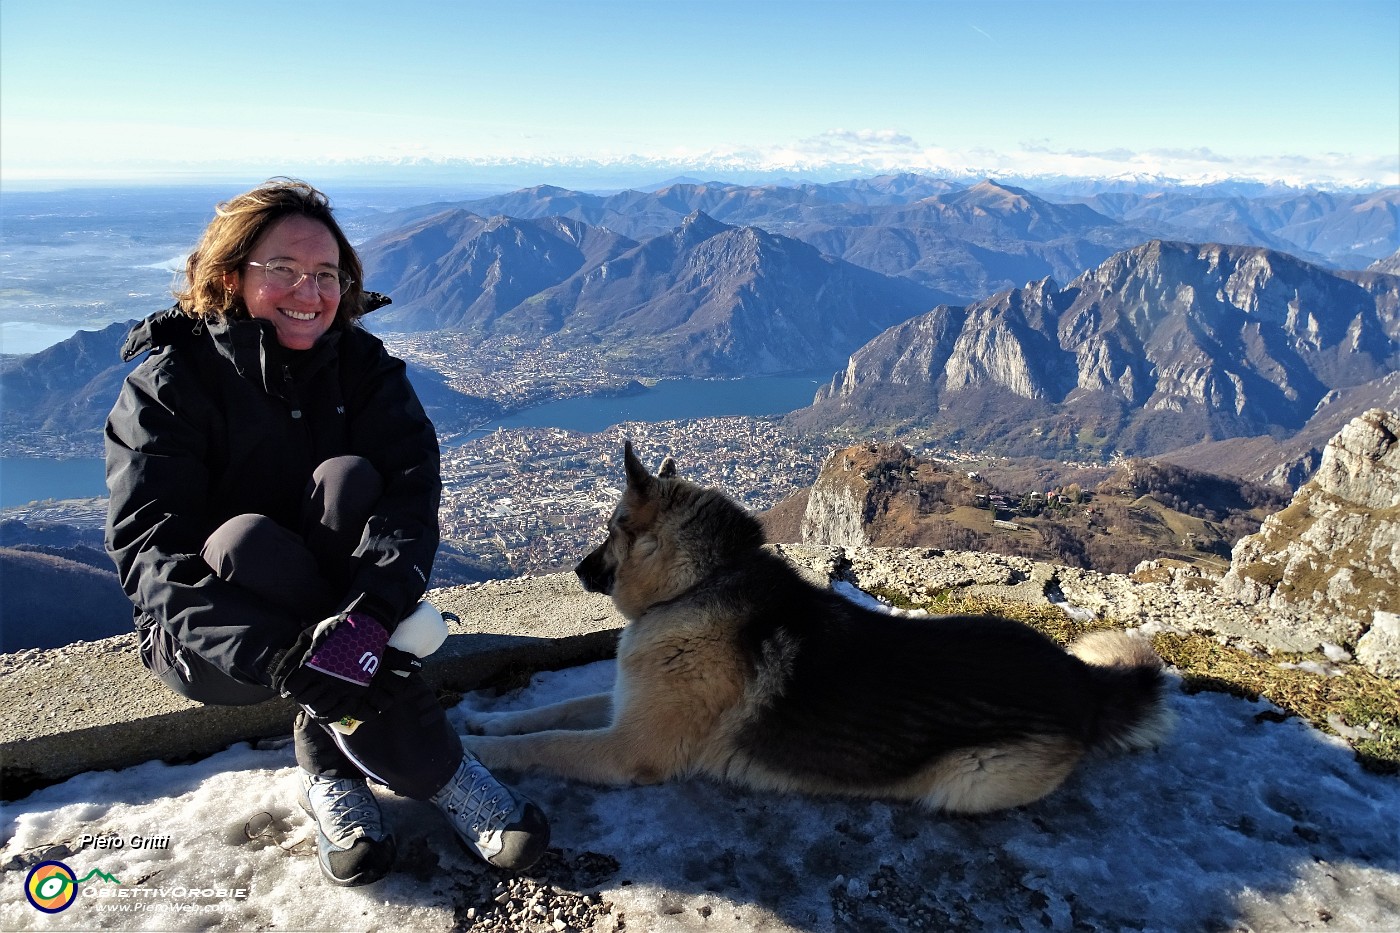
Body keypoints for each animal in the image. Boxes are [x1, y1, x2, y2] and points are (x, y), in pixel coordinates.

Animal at [464, 439, 1176, 812]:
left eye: (613, 530)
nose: (580, 569)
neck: (704, 582)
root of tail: (1081, 681)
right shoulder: (623, 705)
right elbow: (554, 711)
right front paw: (481, 721)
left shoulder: (627, 747)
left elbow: (546, 742)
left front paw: (479, 753)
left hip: (970, 781)